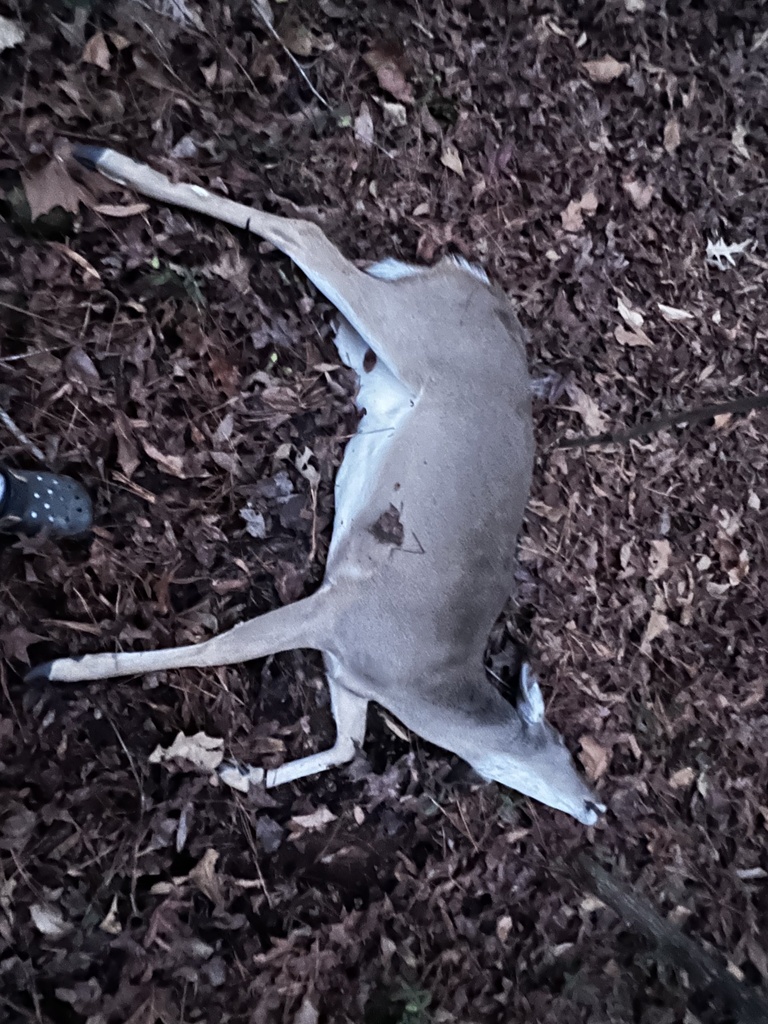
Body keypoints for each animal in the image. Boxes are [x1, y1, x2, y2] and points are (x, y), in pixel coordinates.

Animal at [27, 144, 605, 826]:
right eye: (564, 750)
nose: (598, 807)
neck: (422, 684)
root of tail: (476, 284)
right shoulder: (340, 615)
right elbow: (217, 648)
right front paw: (59, 666)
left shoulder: (343, 665)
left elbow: (346, 744)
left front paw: (241, 771)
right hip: (413, 329)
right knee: (307, 234)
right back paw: (102, 157)